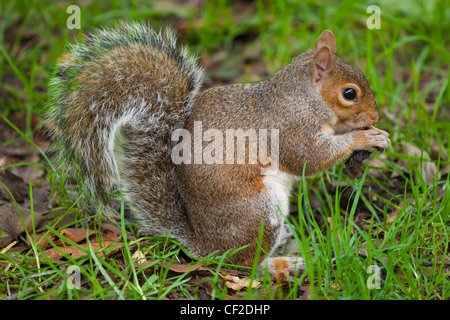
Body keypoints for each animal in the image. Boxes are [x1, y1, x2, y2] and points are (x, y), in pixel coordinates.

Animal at [46, 22, 390, 276]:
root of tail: (204, 247)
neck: (305, 97)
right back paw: (282, 264)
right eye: (349, 93)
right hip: (258, 212)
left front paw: (377, 134)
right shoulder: (290, 128)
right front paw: (364, 138)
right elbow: (309, 159)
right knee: (244, 265)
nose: (375, 117)